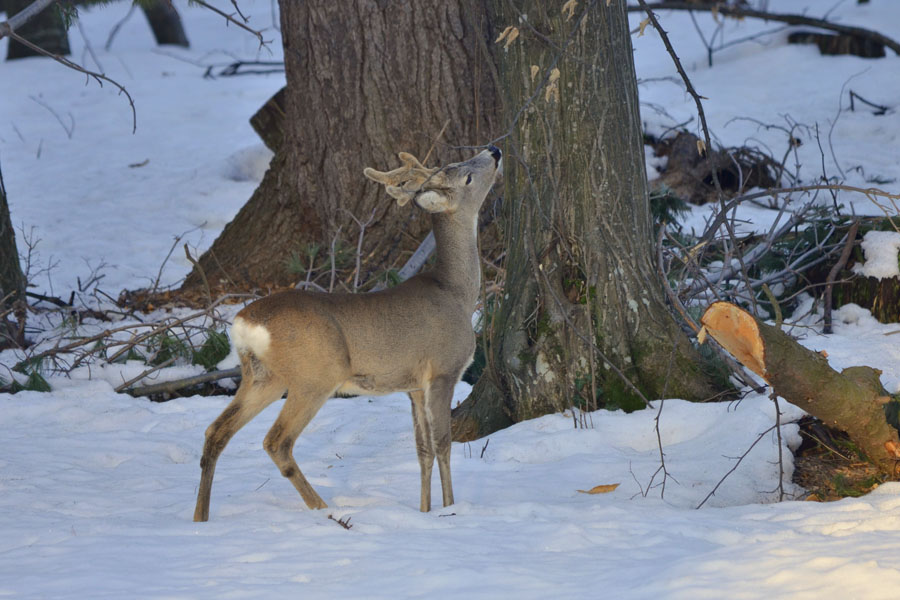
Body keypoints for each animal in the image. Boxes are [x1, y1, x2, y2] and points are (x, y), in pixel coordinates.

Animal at [194, 145, 502, 520]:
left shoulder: (413, 385)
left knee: (216, 431)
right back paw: (322, 508)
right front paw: (449, 509)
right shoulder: (443, 370)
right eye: (467, 176)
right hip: (316, 374)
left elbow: (422, 449)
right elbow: (443, 444)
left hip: (263, 376)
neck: (456, 292)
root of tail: (243, 323)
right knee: (276, 440)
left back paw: (200, 518)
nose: (495, 150)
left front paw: (424, 511)